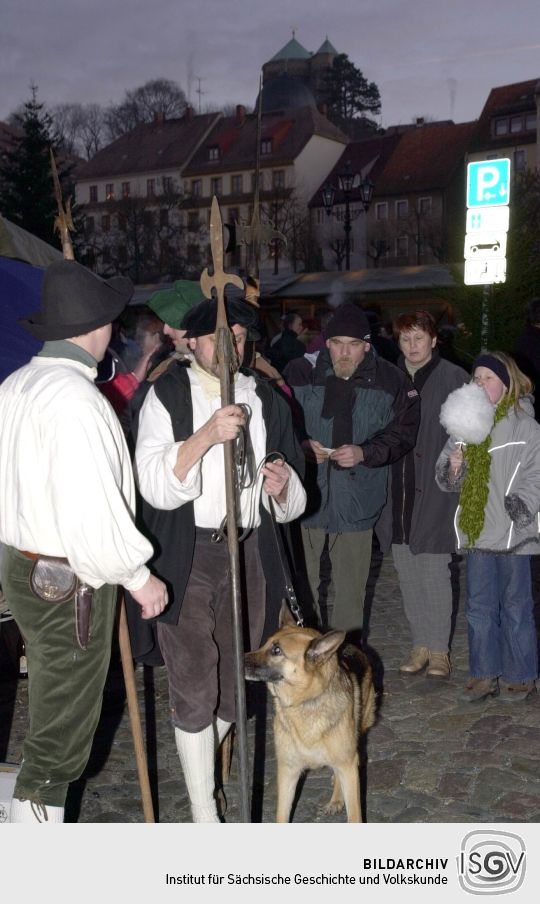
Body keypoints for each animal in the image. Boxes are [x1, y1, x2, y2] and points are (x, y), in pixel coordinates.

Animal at [246, 604, 376, 824]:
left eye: (276, 650)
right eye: (265, 644)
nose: (237, 660)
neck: (304, 702)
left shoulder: (347, 763)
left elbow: (355, 814)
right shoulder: (288, 771)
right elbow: (282, 815)